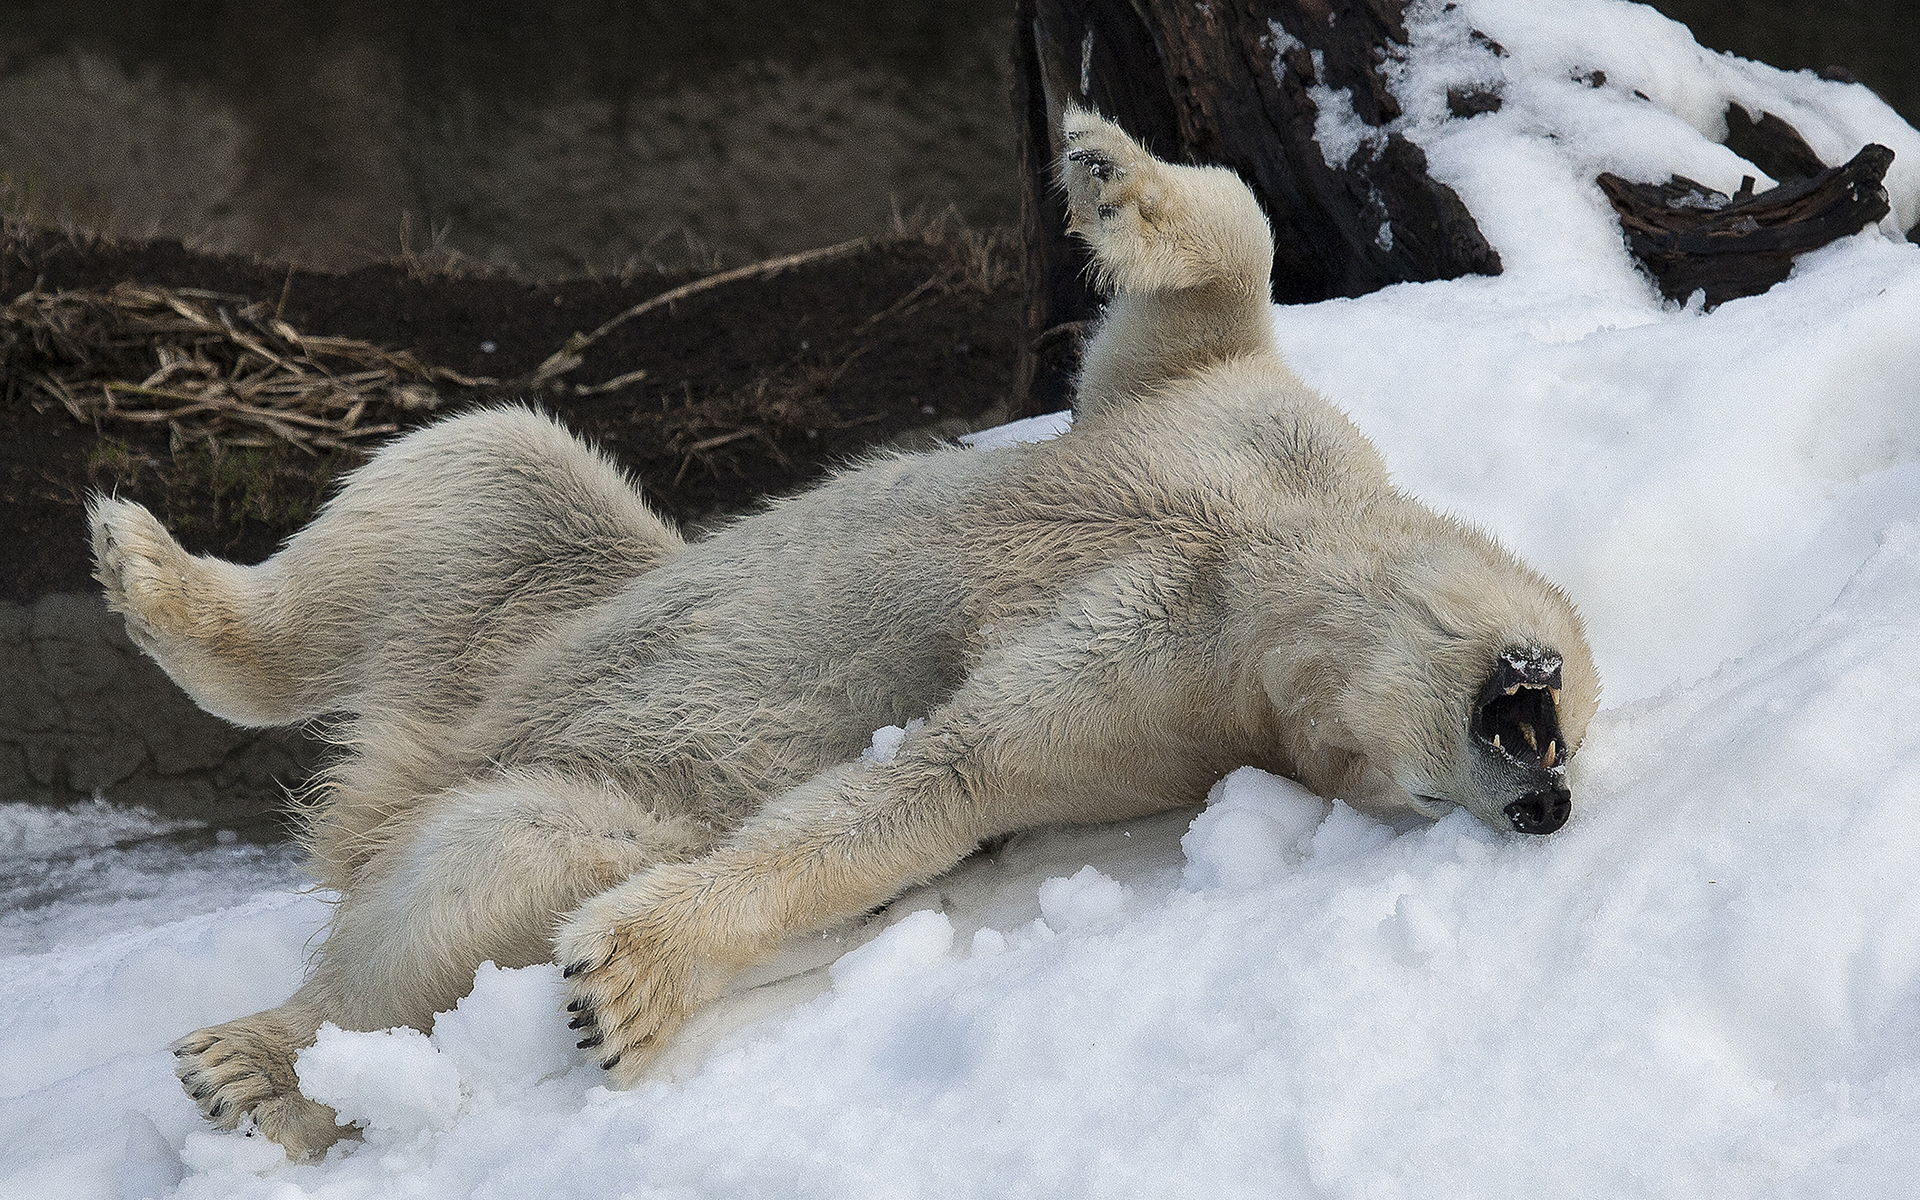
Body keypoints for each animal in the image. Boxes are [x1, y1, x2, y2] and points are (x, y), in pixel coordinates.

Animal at [88, 110, 1599, 1158]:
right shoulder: (1245, 445)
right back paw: (148, 570)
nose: (1551, 806)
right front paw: (1105, 166)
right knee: (485, 471)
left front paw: (623, 983)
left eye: (1418, 802)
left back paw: (264, 1068)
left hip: (590, 784)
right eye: (1561, 718)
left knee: (491, 859)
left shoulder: (1175, 708)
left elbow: (943, 779)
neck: (1271, 567)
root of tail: (404, 771)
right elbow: (1213, 292)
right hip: (540, 606)